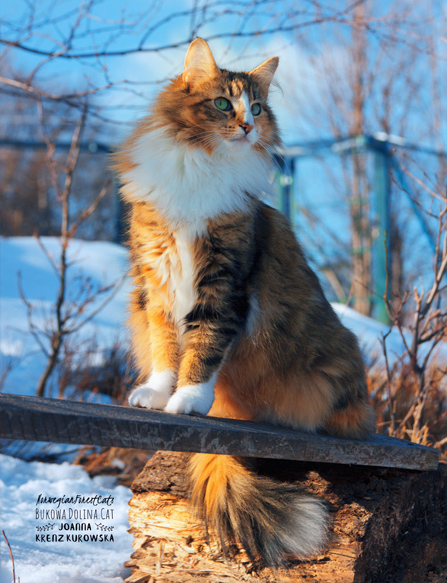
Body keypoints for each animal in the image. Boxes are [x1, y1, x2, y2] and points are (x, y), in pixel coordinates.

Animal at [114, 37, 375, 567]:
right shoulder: (157, 279)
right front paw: (159, 393)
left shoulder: (224, 282)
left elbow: (204, 346)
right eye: (221, 104)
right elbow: (166, 346)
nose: (248, 126)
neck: (202, 164)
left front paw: (188, 400)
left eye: (255, 107)